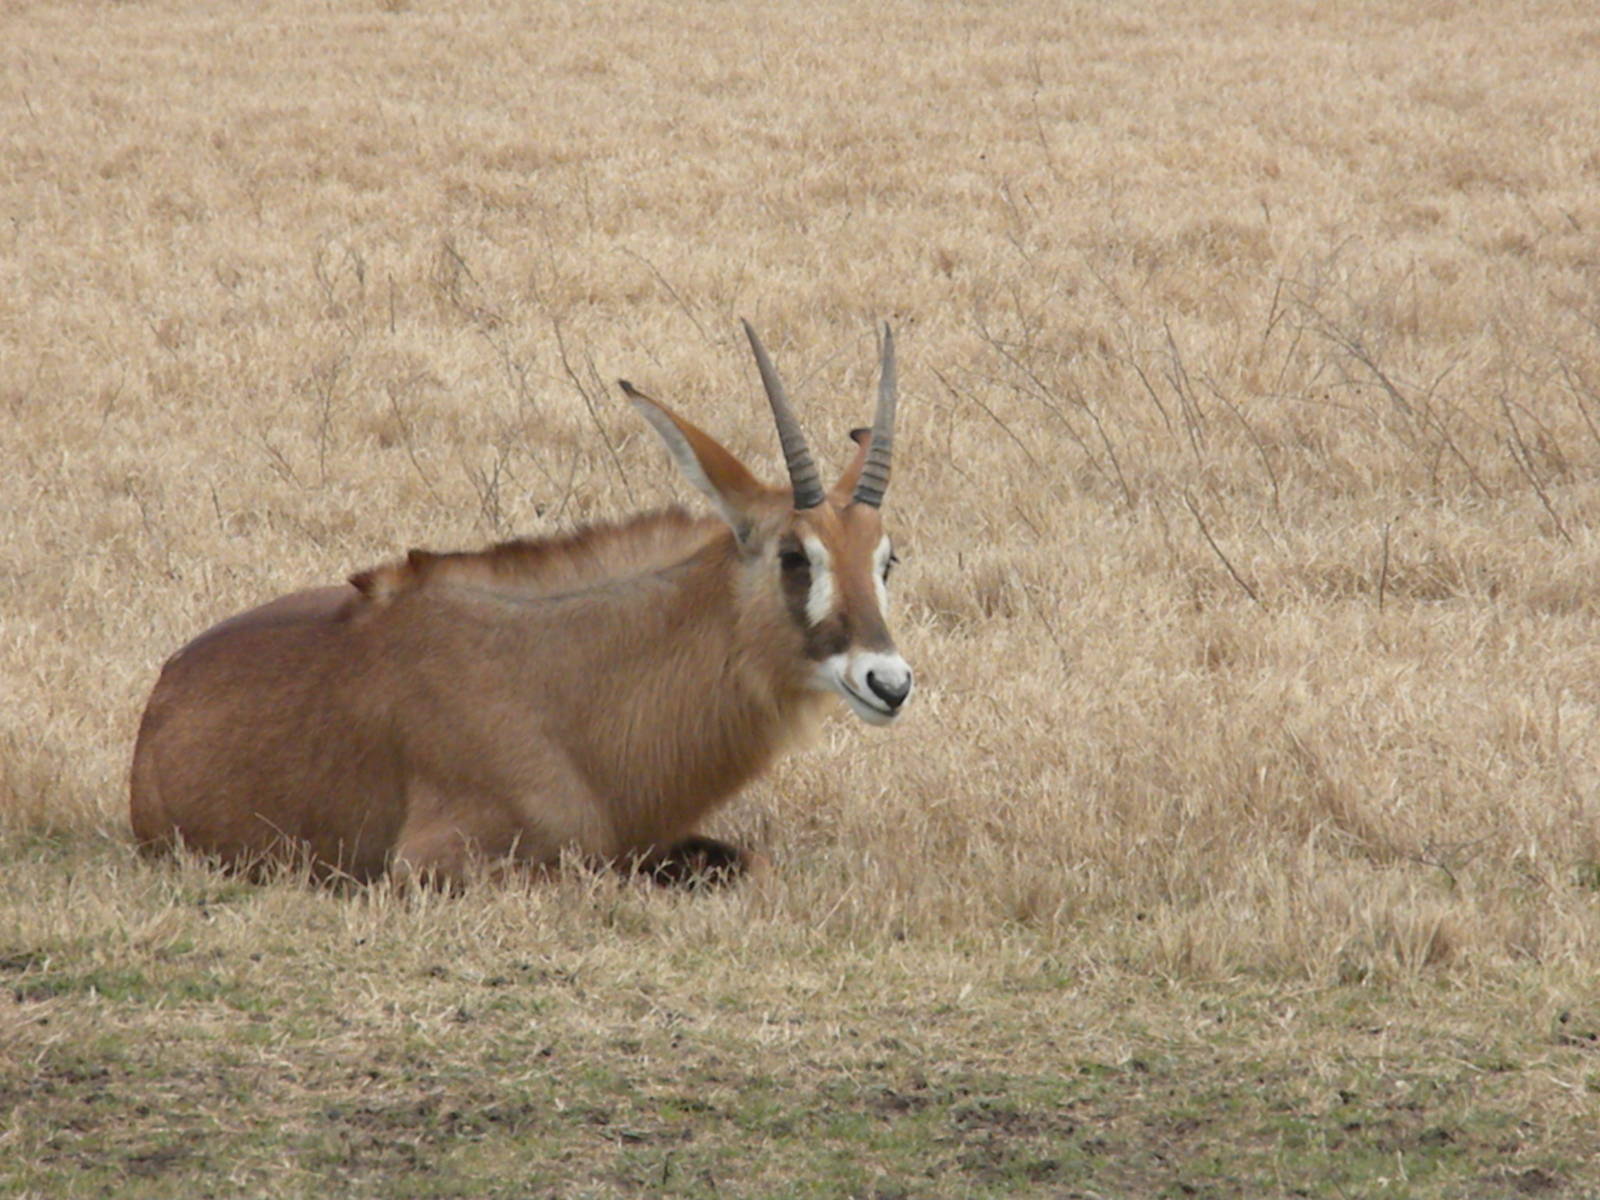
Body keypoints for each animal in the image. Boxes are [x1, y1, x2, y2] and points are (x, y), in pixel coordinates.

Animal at [129, 322, 913, 887]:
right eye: (794, 555)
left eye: (886, 558)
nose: (889, 682)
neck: (566, 686)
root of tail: (164, 691)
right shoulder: (437, 864)